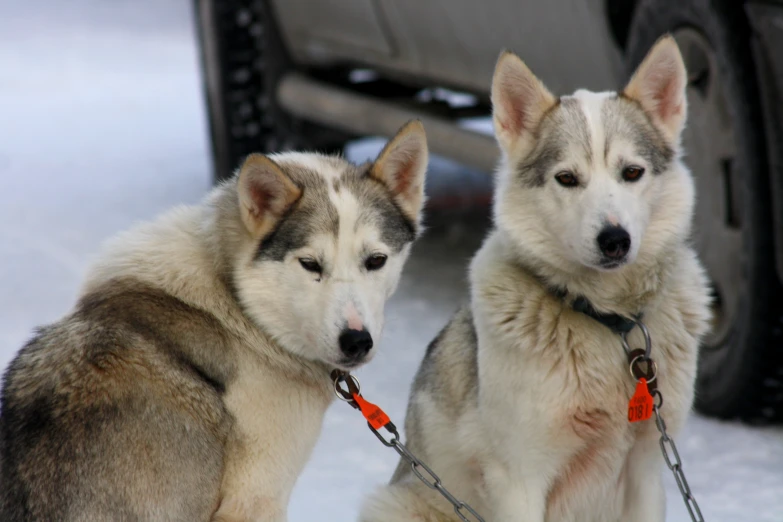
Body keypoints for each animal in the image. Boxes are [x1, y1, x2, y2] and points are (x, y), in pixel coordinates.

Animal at [362, 36, 716, 520]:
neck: (608, 321)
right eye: (566, 178)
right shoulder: (519, 480)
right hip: (395, 502)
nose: (615, 240)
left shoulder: (647, 469)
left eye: (632, 172)